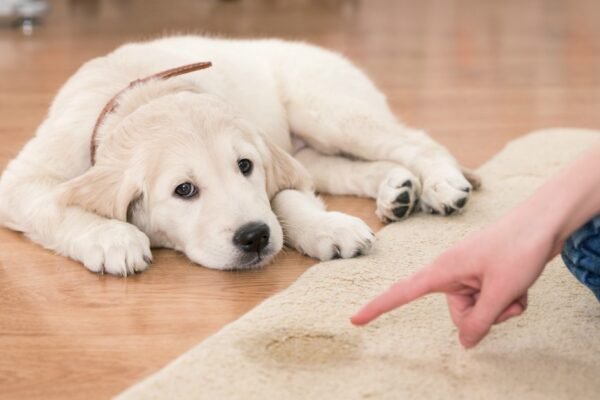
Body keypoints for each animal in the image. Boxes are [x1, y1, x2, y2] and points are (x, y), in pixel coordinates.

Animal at [0, 36, 478, 276]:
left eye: (245, 166)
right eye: (184, 190)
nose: (254, 238)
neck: (141, 93)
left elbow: (284, 199)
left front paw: (327, 227)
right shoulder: (23, 181)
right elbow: (55, 207)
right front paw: (112, 238)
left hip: (327, 110)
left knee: (416, 141)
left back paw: (441, 185)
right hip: (314, 147)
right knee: (349, 168)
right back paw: (397, 190)